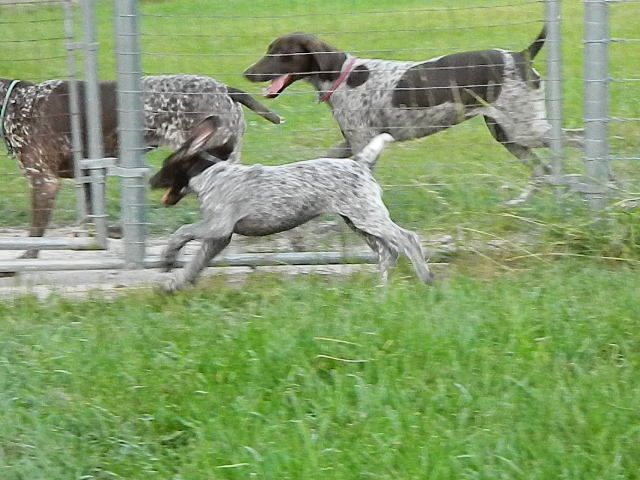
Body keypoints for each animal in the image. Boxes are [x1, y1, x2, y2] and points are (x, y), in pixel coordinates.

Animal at [0, 74, 281, 258]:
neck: (17, 103)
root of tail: (225, 89)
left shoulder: (44, 183)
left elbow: (36, 234)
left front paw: (25, 261)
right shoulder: (90, 174)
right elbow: (93, 216)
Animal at [149, 118, 433, 292]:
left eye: (165, 166)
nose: (151, 180)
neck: (210, 174)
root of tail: (360, 164)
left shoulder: (217, 226)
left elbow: (182, 232)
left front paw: (168, 256)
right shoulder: (219, 238)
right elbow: (195, 264)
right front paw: (176, 283)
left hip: (368, 217)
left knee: (407, 239)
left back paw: (426, 279)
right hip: (358, 222)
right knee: (388, 252)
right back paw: (381, 291)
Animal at [244, 28, 556, 203]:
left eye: (278, 53)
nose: (246, 73)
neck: (343, 76)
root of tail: (521, 55)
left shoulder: (362, 144)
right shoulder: (350, 142)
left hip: (526, 129)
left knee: (563, 142)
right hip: (507, 134)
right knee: (542, 169)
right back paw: (522, 202)